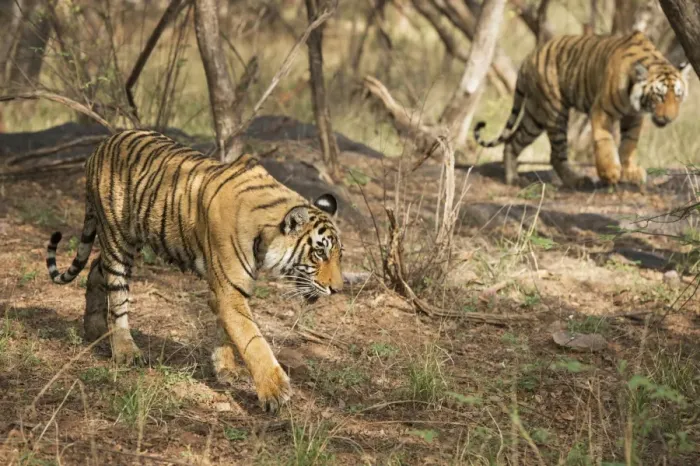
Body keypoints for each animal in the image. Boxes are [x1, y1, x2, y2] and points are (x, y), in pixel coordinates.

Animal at [45, 129, 344, 412]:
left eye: (339, 254)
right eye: (320, 253)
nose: (337, 289)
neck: (265, 235)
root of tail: (102, 144)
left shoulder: (229, 288)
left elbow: (227, 332)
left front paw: (226, 369)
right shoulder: (230, 289)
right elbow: (252, 340)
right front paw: (275, 391)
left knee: (97, 268)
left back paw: (95, 330)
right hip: (118, 238)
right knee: (117, 296)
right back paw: (125, 350)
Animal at [474, 31, 691, 188]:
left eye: (678, 96)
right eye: (660, 96)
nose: (669, 118)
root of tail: (528, 58)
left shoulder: (634, 116)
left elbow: (629, 143)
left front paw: (630, 172)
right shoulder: (602, 111)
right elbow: (605, 141)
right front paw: (610, 172)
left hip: (534, 115)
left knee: (513, 141)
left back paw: (513, 179)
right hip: (555, 111)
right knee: (556, 155)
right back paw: (576, 180)